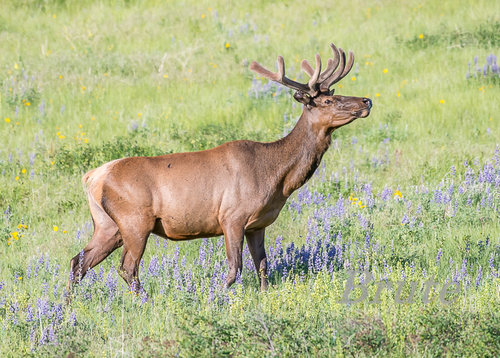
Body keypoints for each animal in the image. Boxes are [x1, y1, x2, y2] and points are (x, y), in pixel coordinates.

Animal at [67, 42, 372, 294]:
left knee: (77, 262)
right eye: (327, 101)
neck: (278, 177)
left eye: (334, 93)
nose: (366, 100)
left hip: (107, 225)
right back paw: (145, 301)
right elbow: (234, 269)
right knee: (127, 268)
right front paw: (217, 298)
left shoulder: (257, 224)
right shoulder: (232, 217)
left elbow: (263, 266)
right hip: (135, 221)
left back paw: (71, 305)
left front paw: (263, 297)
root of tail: (93, 177)